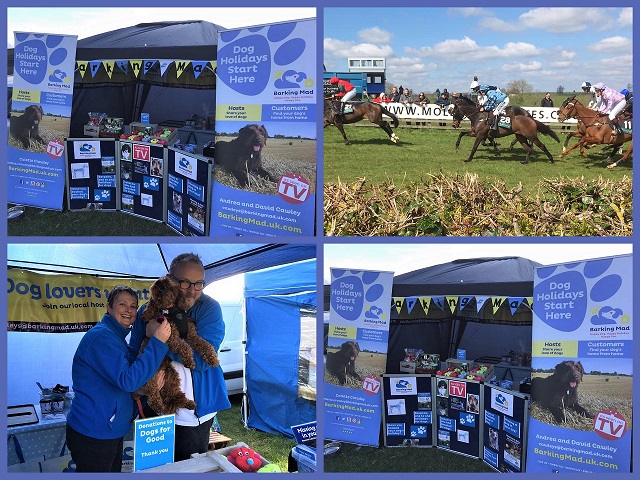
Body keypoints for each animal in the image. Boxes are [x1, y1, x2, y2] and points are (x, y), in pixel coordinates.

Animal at [138, 276, 220, 414]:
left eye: (167, 284)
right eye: (156, 287)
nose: (160, 287)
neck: (171, 311)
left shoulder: (191, 334)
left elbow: (204, 344)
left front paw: (212, 358)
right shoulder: (170, 338)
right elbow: (184, 347)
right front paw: (190, 361)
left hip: (172, 376)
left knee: (174, 396)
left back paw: (187, 403)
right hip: (150, 378)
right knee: (152, 394)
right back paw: (159, 405)